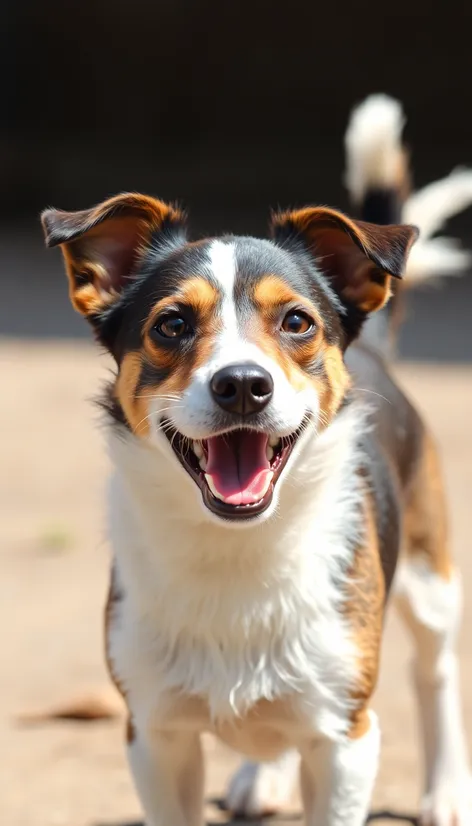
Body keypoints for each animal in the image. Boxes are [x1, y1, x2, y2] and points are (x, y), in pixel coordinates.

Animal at [41, 96, 472, 824]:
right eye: (172, 325)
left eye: (297, 322)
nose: (242, 383)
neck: (236, 550)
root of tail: (375, 348)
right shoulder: (153, 735)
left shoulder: (348, 738)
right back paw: (263, 777)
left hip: (429, 574)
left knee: (433, 671)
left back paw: (445, 789)